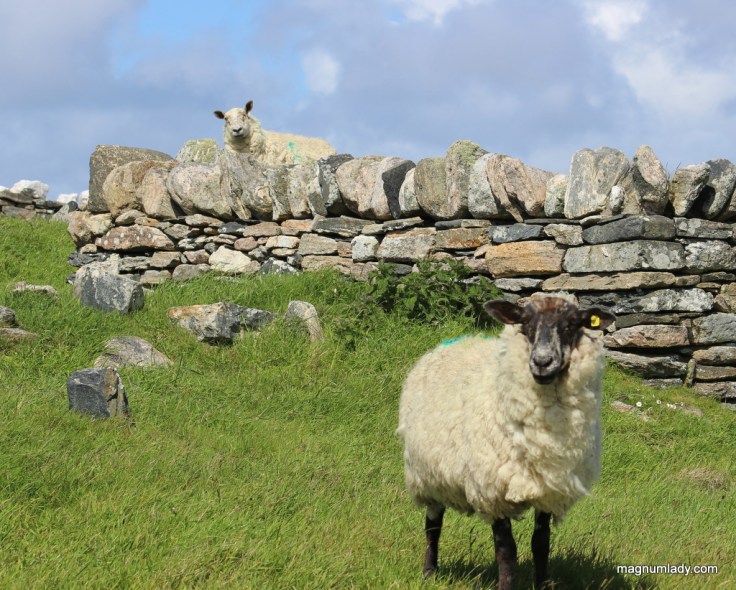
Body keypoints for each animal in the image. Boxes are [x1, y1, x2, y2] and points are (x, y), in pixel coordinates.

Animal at [397, 295, 614, 590]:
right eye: (526, 323)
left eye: (571, 324)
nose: (542, 361)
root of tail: (455, 341)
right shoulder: (493, 489)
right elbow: (506, 551)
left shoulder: (547, 487)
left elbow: (541, 544)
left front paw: (542, 584)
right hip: (427, 475)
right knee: (433, 525)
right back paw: (429, 572)